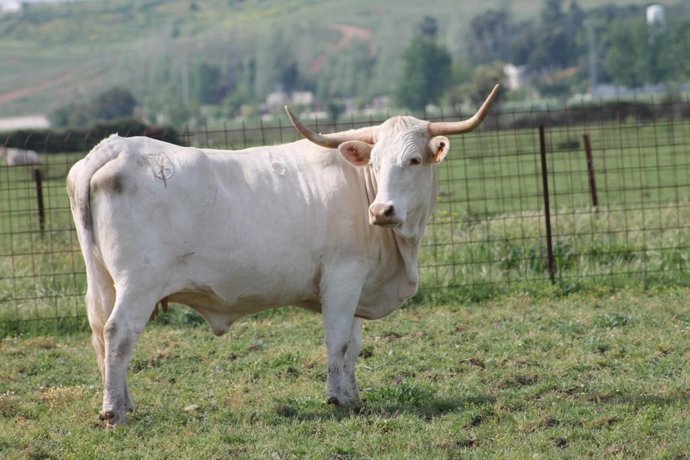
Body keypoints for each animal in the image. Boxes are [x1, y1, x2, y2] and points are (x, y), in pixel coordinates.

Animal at [66, 85, 499, 428]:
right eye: (375, 163)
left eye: (414, 160)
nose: (382, 211)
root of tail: (115, 146)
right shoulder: (342, 278)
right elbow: (338, 341)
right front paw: (338, 398)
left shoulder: (356, 285)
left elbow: (354, 343)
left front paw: (354, 396)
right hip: (138, 283)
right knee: (118, 334)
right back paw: (114, 413)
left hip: (105, 282)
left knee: (102, 337)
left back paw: (125, 403)